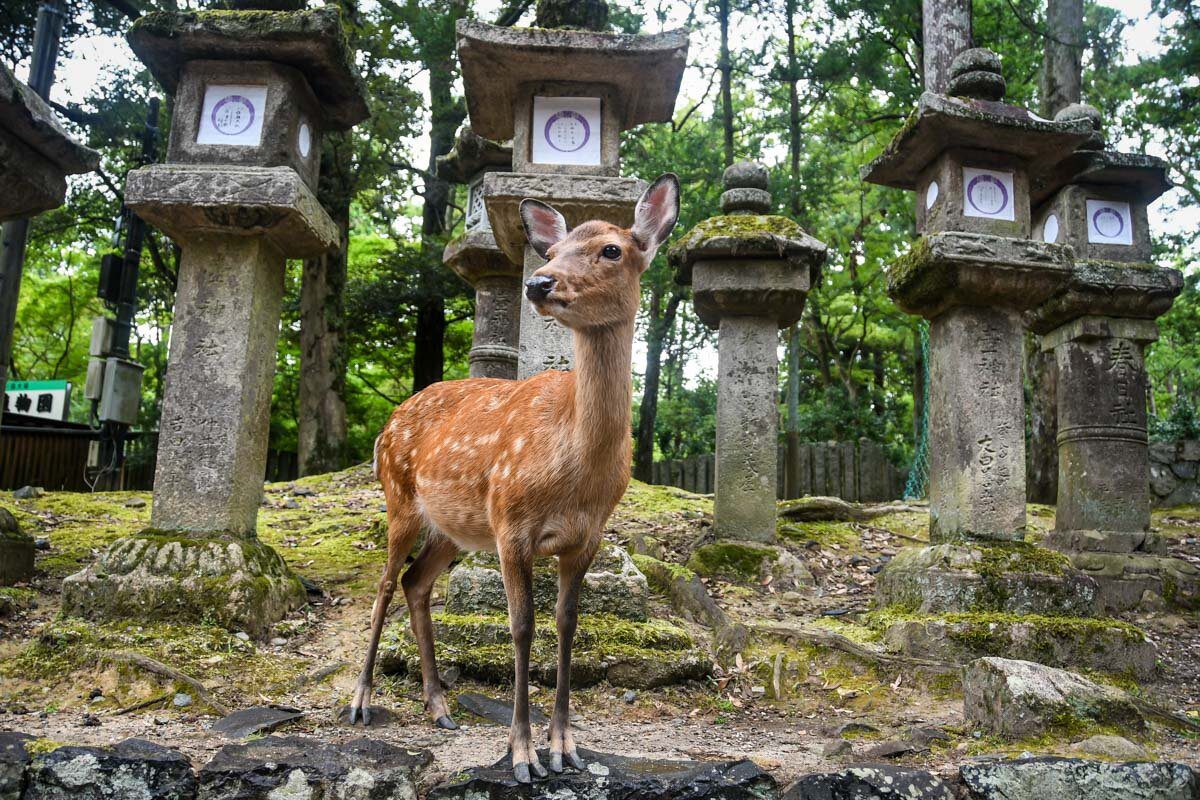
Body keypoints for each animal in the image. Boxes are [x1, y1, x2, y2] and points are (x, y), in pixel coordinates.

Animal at [350, 173, 681, 782]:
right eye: (551, 251)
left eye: (612, 249)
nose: (538, 282)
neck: (574, 469)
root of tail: (388, 424)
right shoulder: (511, 523)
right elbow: (522, 625)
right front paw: (522, 754)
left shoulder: (587, 536)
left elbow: (568, 623)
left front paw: (565, 745)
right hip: (398, 495)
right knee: (385, 583)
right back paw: (360, 700)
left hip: (453, 528)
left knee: (416, 583)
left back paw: (439, 707)